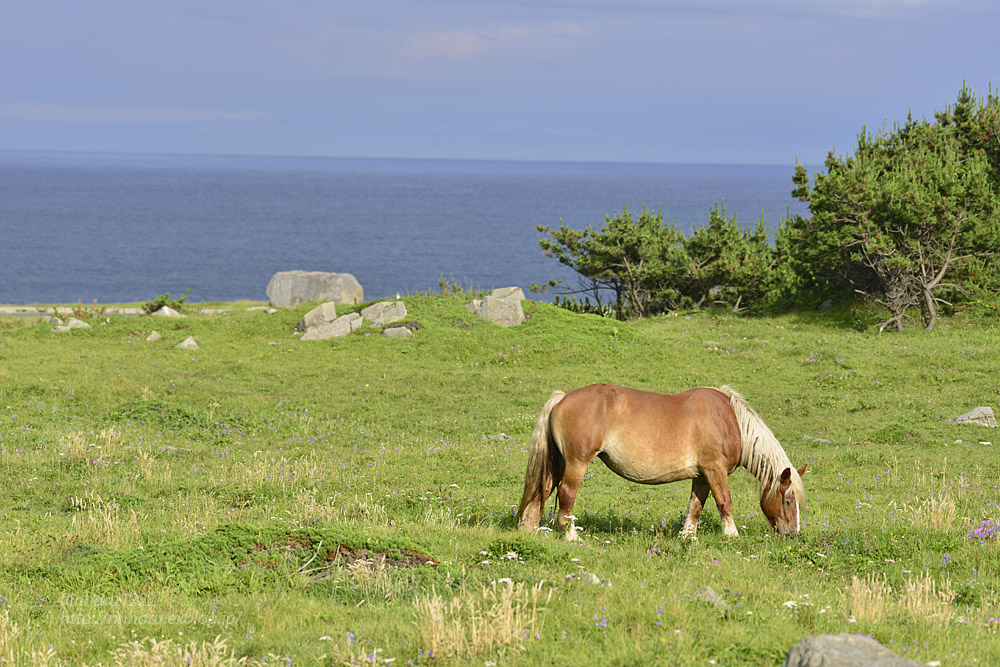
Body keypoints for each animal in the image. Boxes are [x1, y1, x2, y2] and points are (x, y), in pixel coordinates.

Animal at [516, 384, 804, 540]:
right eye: (788, 501)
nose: (793, 534)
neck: (729, 419)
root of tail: (562, 397)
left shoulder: (702, 476)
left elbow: (695, 507)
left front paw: (688, 536)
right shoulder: (715, 470)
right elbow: (725, 502)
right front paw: (731, 535)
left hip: (558, 463)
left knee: (542, 492)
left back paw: (529, 529)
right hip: (576, 463)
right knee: (566, 494)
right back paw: (571, 535)